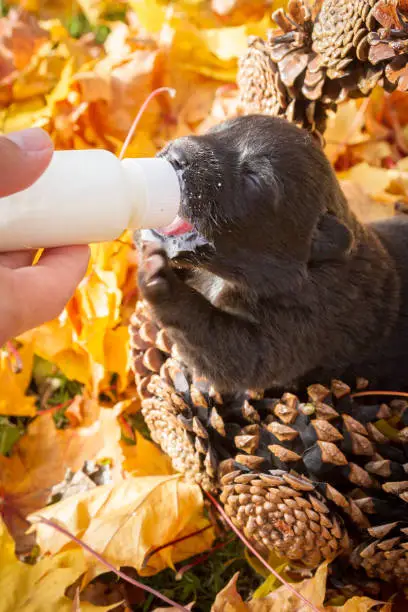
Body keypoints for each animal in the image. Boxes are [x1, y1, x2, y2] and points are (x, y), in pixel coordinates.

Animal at [137, 115, 408, 392]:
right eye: (218, 129)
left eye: (254, 179)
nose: (176, 155)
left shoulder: (299, 328)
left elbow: (230, 353)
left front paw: (159, 280)